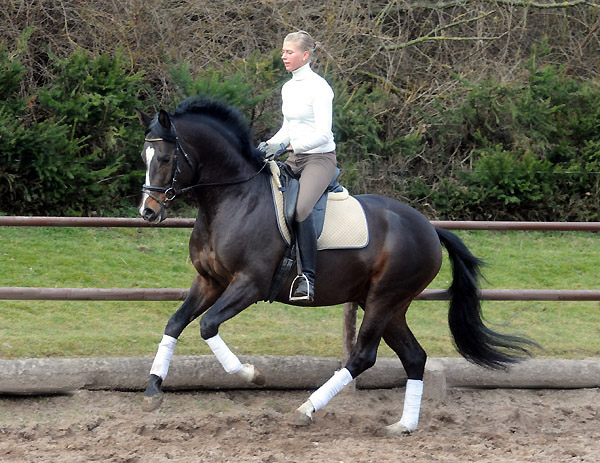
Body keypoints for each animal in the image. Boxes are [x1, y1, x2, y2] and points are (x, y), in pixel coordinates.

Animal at [137, 96, 536, 436]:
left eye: (166, 158)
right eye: (145, 155)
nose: (148, 212)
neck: (234, 198)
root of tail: (428, 228)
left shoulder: (248, 284)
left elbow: (207, 325)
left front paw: (252, 374)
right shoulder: (209, 281)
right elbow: (175, 322)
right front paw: (154, 389)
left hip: (383, 299)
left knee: (362, 357)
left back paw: (306, 409)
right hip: (388, 305)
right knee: (414, 357)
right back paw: (403, 425)